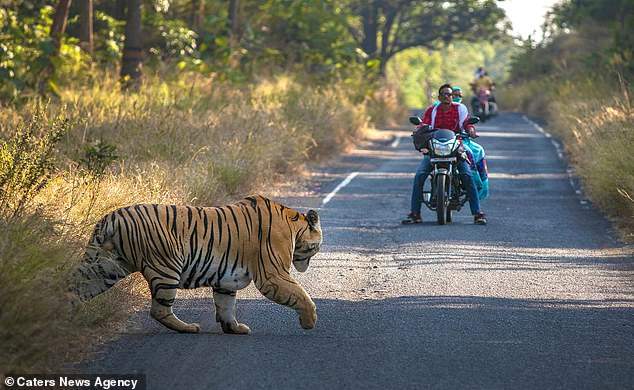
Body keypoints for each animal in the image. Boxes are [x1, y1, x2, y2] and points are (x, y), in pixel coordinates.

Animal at [69, 197, 320, 334]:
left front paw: (234, 328)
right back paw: (189, 327)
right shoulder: (273, 274)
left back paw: (65, 311)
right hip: (166, 268)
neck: (294, 225)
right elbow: (301, 294)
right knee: (159, 310)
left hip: (106, 266)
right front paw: (309, 321)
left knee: (76, 287)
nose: (308, 264)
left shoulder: (226, 280)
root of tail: (110, 218)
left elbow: (226, 305)